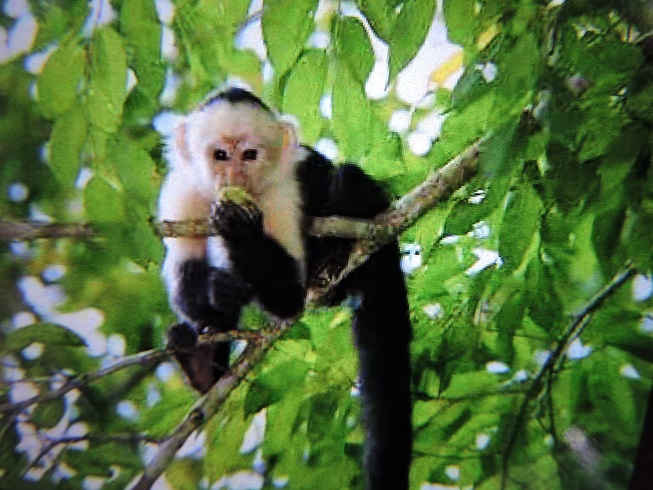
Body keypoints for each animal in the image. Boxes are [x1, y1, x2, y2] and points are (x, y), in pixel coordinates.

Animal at [157, 87, 412, 489]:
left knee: (347, 177)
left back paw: (337, 257)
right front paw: (217, 294)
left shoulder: (282, 193)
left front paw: (240, 229)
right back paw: (201, 365)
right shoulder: (182, 192)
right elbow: (186, 271)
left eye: (250, 155)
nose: (235, 175)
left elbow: (288, 296)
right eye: (220, 155)